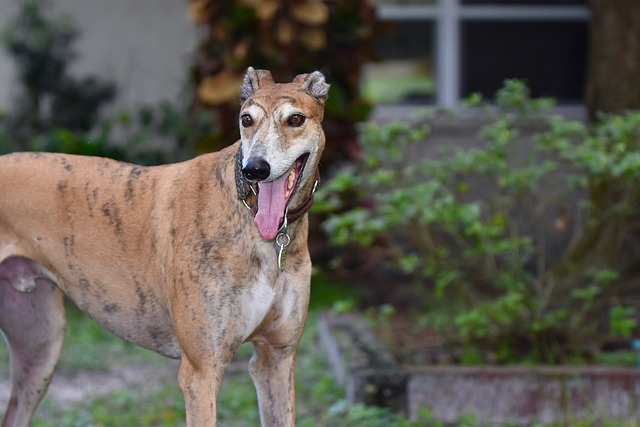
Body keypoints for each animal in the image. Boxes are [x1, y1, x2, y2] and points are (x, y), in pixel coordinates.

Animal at [0, 68, 330, 426]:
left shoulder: (276, 359)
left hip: (40, 347)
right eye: (246, 119)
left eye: (295, 119)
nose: (255, 168)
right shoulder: (201, 372)